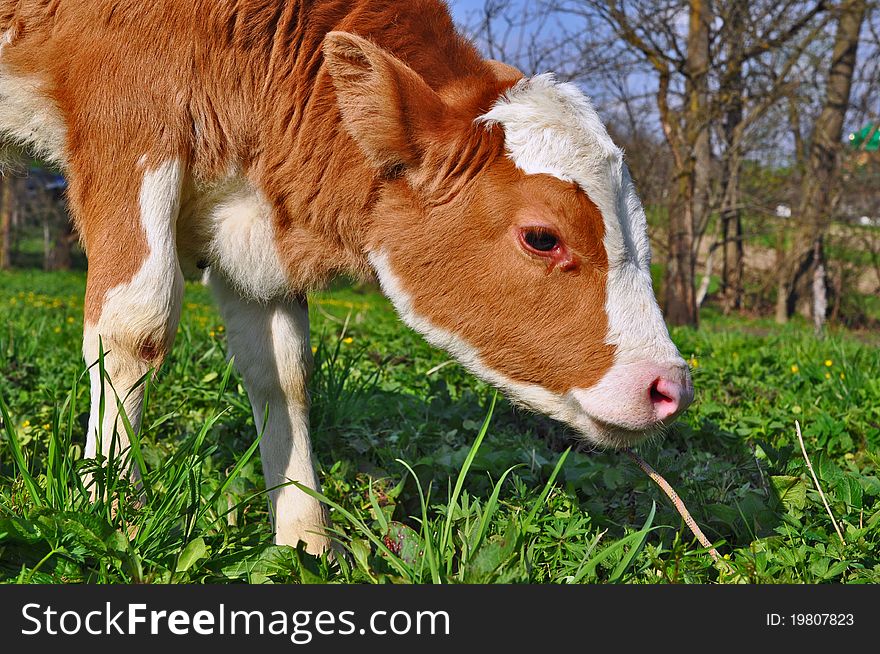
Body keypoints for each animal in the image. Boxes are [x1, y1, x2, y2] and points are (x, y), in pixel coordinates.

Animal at [1, 0, 696, 556]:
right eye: (543, 237)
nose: (670, 386)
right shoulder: (127, 122)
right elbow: (135, 326)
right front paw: (111, 513)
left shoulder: (255, 224)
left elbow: (283, 371)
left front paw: (306, 540)